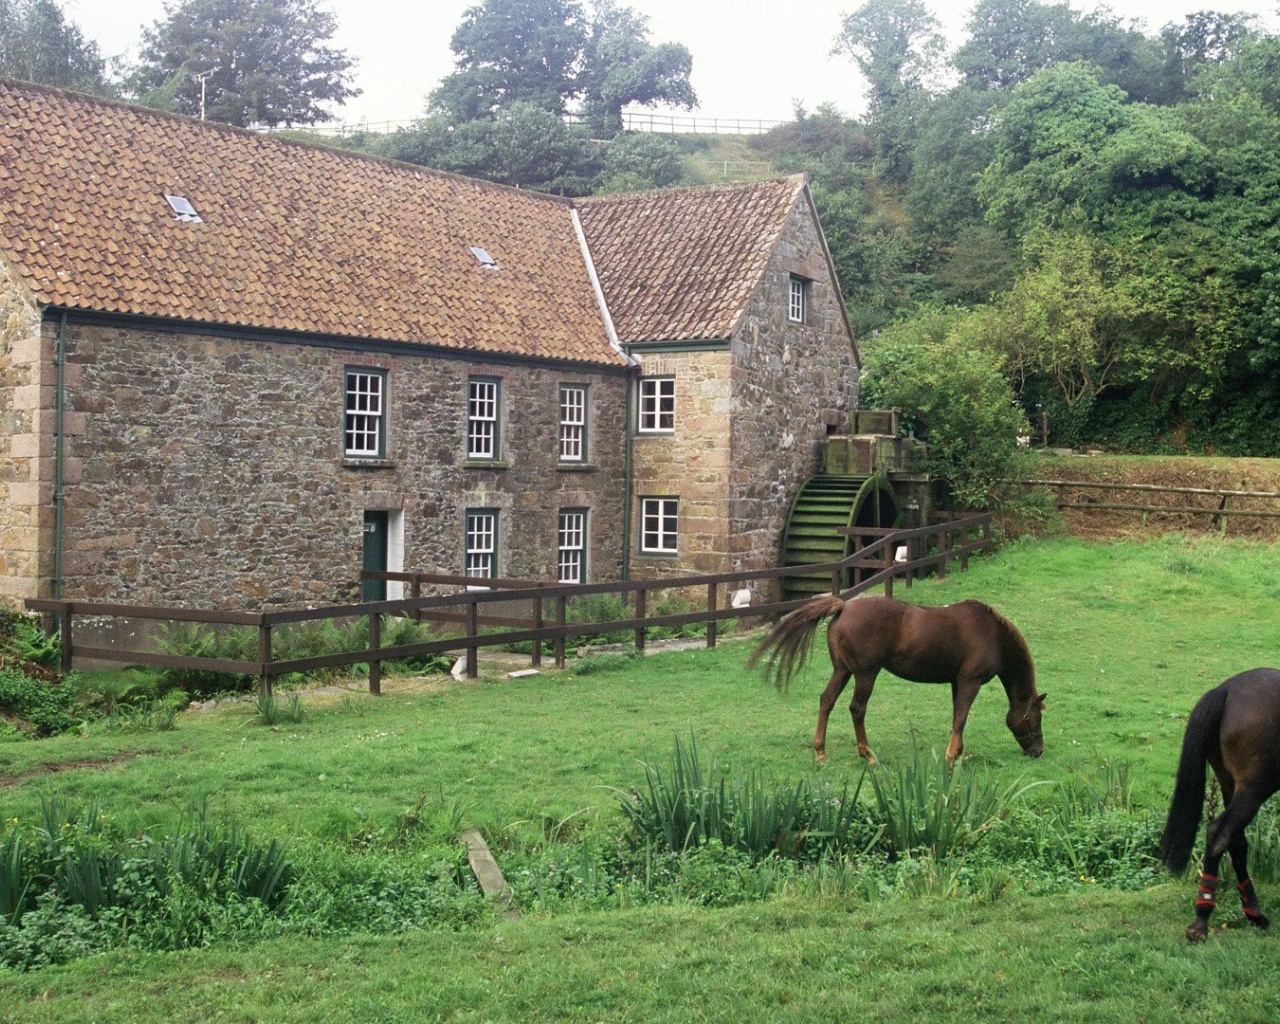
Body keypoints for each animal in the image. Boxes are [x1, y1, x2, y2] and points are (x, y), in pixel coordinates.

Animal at [747, 591, 1044, 757]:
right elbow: (961, 718)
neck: (992, 633)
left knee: (826, 701)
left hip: (842, 671)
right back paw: (867, 755)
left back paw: (821, 752)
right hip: (866, 674)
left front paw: (958, 752)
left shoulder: (956, 682)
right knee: (857, 708)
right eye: (1037, 717)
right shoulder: (970, 682)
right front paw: (952, 756)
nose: (1038, 751)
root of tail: (844, 607)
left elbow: (956, 718)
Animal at [1162, 665, 1280, 942]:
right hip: (1252, 789)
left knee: (1235, 841)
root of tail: (1226, 690)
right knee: (1219, 833)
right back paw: (1201, 920)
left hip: (1230, 785)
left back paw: (1254, 913)